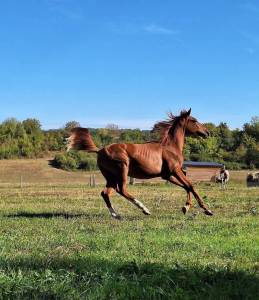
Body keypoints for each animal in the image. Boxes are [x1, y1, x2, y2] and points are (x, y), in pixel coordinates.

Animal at [67, 108, 215, 218]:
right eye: (194, 120)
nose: (207, 132)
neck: (170, 147)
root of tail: (100, 150)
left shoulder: (167, 175)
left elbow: (186, 186)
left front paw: (186, 207)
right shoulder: (175, 170)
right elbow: (191, 185)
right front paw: (207, 210)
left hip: (111, 176)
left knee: (105, 193)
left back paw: (116, 215)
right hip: (122, 170)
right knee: (121, 190)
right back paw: (144, 209)